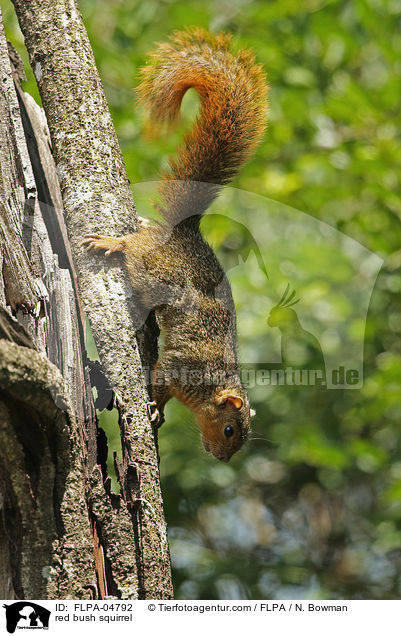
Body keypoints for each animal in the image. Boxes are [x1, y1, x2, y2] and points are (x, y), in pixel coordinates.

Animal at [82, 27, 268, 462]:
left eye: (241, 439)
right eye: (229, 429)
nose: (221, 458)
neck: (210, 387)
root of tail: (185, 233)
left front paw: (160, 415)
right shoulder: (181, 366)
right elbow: (161, 381)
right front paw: (154, 408)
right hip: (150, 267)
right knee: (133, 248)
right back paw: (112, 241)